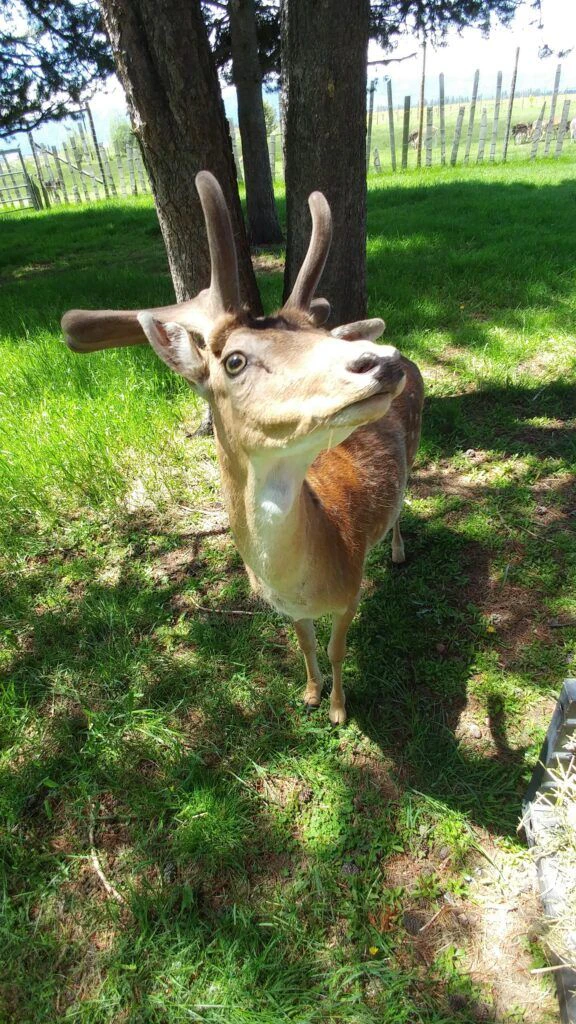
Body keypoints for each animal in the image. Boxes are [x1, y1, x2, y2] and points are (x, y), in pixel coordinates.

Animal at [62, 171, 424, 725]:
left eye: (322, 335)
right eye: (234, 360)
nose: (381, 360)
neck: (311, 571)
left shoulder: (351, 591)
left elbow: (337, 649)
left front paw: (339, 711)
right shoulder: (287, 608)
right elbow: (306, 646)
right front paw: (310, 695)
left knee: (406, 499)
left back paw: (399, 553)